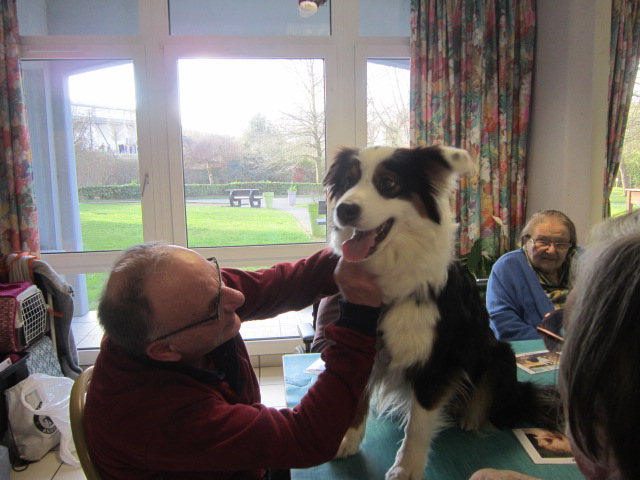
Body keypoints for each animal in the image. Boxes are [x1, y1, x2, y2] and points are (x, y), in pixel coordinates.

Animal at [322, 144, 556, 478]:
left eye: (388, 183)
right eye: (347, 181)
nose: (344, 210)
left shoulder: (437, 361)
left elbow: (419, 424)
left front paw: (405, 468)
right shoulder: (362, 343)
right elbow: (356, 397)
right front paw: (347, 441)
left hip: (500, 353)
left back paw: (471, 416)